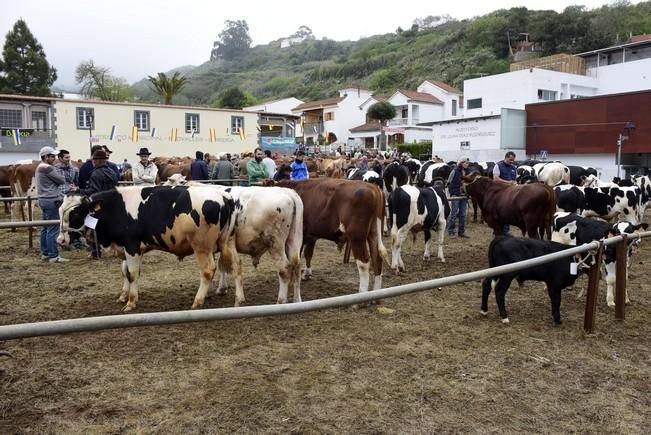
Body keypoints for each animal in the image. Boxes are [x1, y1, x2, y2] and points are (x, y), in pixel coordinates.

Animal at [57, 186, 237, 312]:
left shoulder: (132, 247)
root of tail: (224, 196)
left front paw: (131, 302)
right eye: (60, 211)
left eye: (75, 213)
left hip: (201, 247)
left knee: (207, 270)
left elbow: (132, 274)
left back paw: (197, 301)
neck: (115, 207)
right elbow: (125, 272)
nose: (60, 240)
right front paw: (123, 296)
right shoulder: (125, 248)